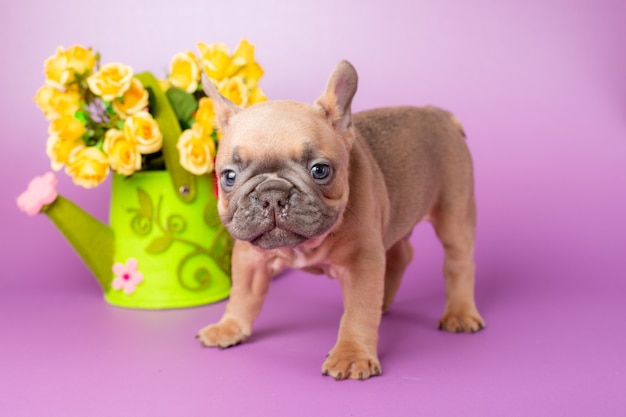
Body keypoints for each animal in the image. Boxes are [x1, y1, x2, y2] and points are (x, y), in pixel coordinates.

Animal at [195, 61, 482, 380]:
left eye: (320, 170)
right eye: (228, 176)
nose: (272, 194)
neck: (303, 247)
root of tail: (438, 113)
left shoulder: (363, 262)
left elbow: (358, 312)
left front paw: (352, 356)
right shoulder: (250, 259)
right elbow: (242, 296)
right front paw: (229, 327)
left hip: (454, 213)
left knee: (458, 261)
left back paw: (459, 313)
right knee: (401, 253)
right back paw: (384, 301)